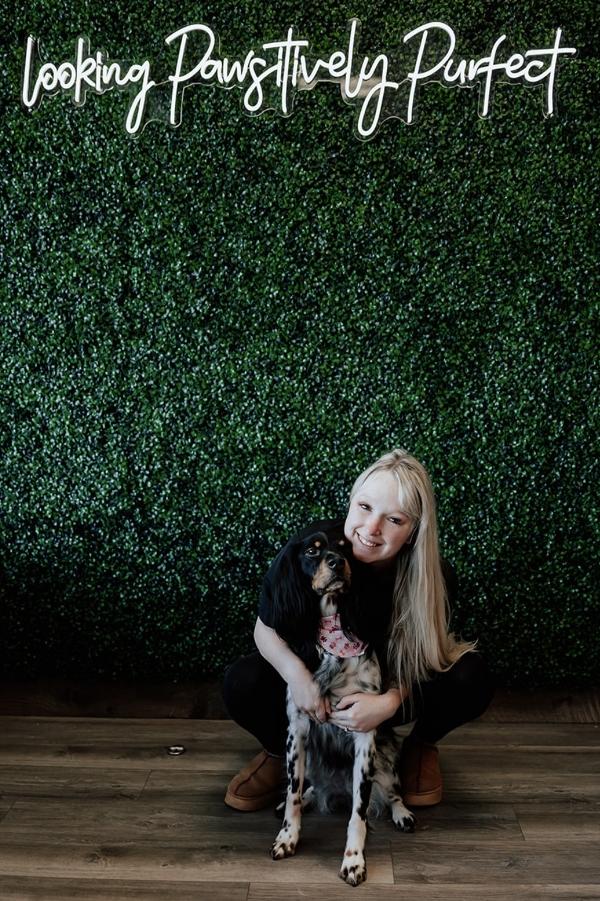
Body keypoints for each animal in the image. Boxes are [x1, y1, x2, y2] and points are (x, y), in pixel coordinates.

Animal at [268, 528, 412, 884]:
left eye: (345, 548)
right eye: (312, 551)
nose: (337, 562)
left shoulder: (365, 732)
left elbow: (359, 812)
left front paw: (354, 859)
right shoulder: (297, 730)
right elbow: (293, 794)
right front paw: (287, 837)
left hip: (387, 758)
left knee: (392, 790)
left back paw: (402, 812)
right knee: (306, 787)